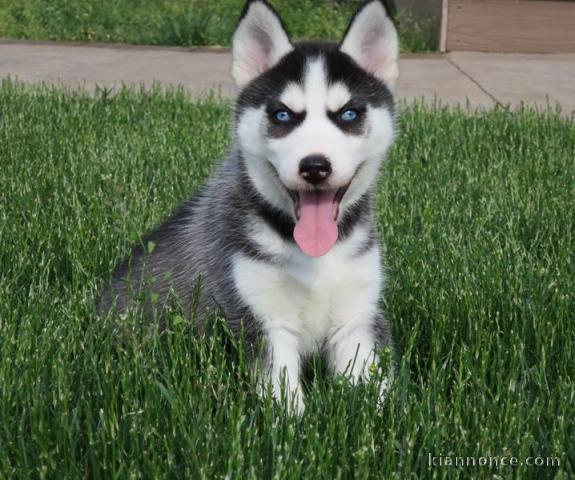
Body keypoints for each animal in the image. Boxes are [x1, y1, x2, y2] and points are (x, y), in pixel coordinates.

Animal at [102, 0, 400, 412]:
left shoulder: (358, 318)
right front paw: (293, 424)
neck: (315, 257)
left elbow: (376, 393)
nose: (315, 166)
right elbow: (284, 398)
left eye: (349, 114)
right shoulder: (261, 318)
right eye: (282, 115)